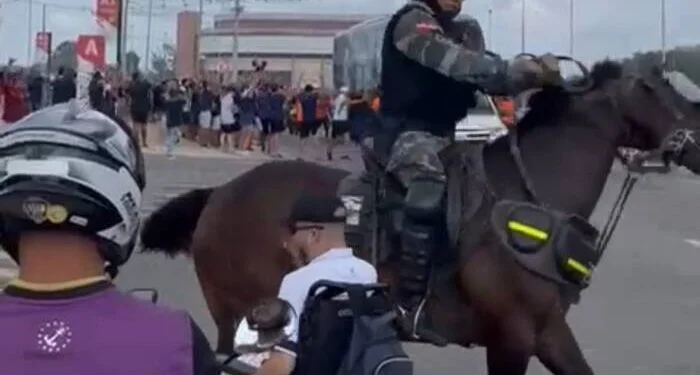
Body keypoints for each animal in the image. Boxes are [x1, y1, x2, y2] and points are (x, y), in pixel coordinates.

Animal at [139, 60, 696, 374]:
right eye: (651, 88)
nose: (695, 140)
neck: (530, 197)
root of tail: (221, 194)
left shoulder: (547, 332)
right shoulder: (515, 334)